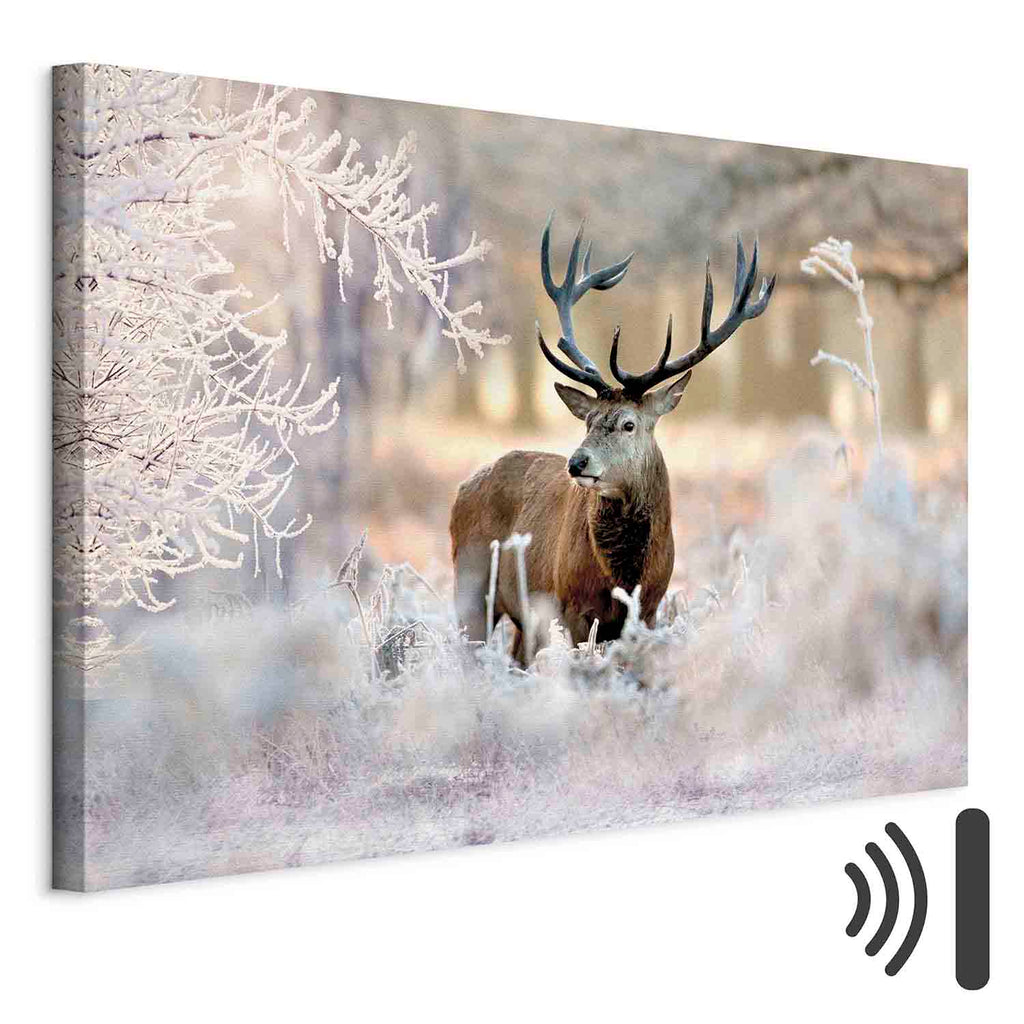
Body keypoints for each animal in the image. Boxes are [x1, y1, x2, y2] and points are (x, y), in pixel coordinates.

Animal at [450, 214, 776, 665]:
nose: (577, 462)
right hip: (471, 582)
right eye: (588, 420)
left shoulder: (651, 609)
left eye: (628, 424)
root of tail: (463, 488)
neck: (624, 576)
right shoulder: (570, 606)